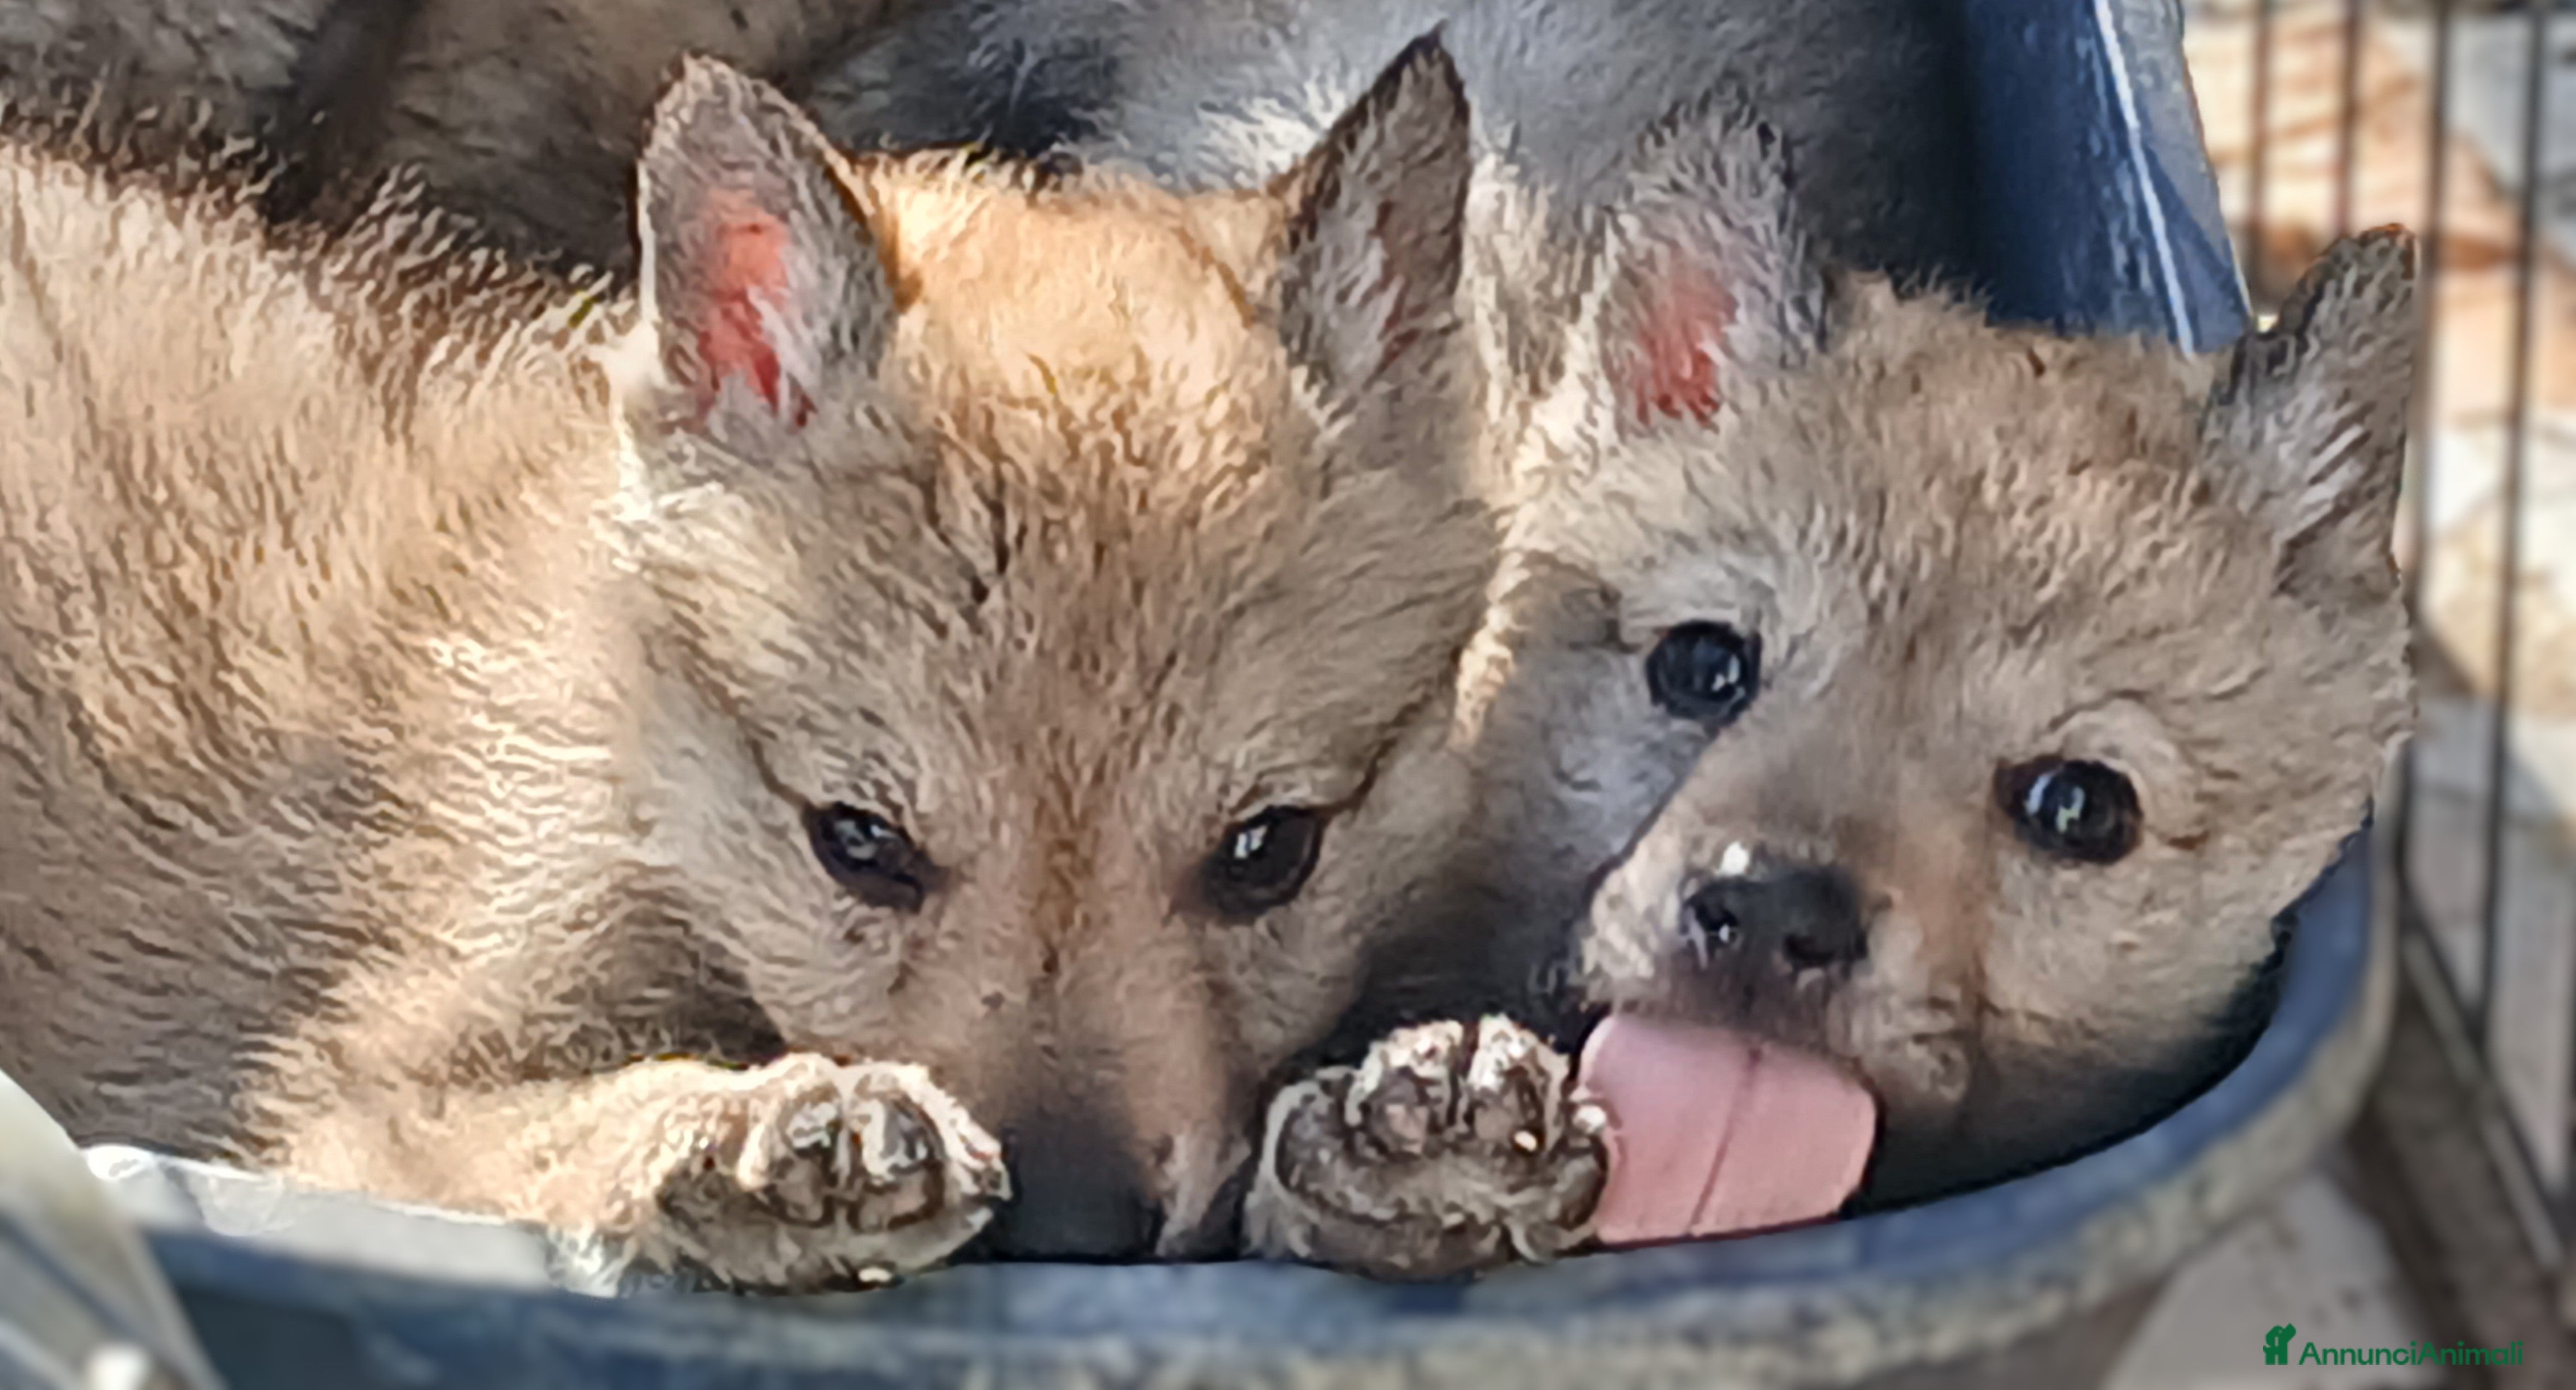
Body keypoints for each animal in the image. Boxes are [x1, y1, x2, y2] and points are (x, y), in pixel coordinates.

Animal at [0, 45, 1497, 1289]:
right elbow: (576, 1120)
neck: (634, 747)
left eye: (1268, 851)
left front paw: (1431, 1142)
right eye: (859, 842)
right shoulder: (349, 1104)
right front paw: (756, 1130)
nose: (1073, 1232)